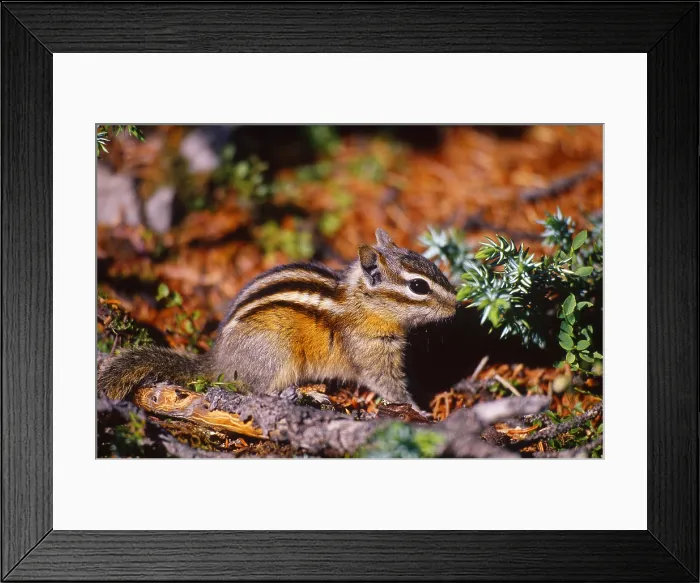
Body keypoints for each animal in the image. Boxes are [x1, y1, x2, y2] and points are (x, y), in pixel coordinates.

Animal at [98, 228, 457, 409]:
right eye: (418, 286)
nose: (456, 305)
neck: (361, 303)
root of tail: (219, 361)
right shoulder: (371, 352)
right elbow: (387, 384)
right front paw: (418, 409)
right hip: (277, 354)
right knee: (255, 392)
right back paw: (306, 394)